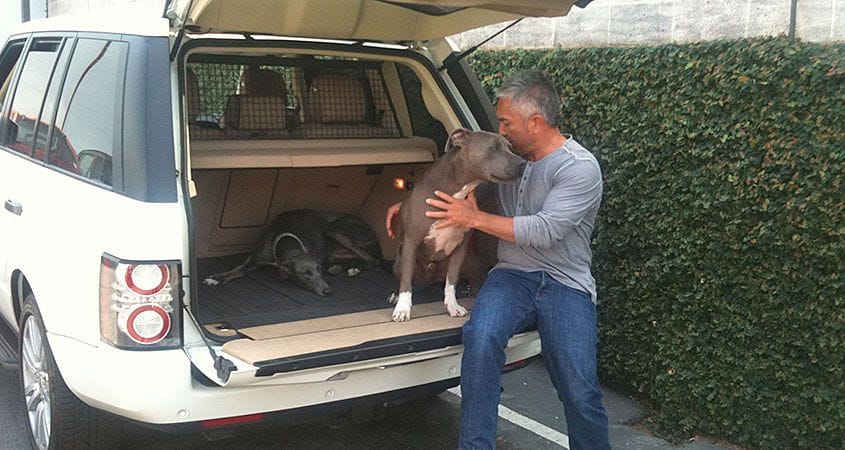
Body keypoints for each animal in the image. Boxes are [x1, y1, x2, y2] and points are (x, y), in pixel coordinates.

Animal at [203, 210, 380, 298]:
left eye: (318, 271)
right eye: (306, 273)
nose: (327, 291)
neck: (286, 238)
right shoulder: (255, 258)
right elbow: (238, 269)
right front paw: (217, 277)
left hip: (336, 230)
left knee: (372, 260)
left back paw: (353, 269)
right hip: (333, 243)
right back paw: (341, 267)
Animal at [392, 128, 524, 322]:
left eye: (510, 147)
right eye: (494, 148)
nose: (523, 163)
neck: (457, 190)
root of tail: (432, 275)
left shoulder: (461, 247)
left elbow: (451, 281)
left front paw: (452, 306)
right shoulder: (411, 241)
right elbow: (406, 281)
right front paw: (402, 309)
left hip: (470, 261)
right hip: (399, 262)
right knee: (403, 276)